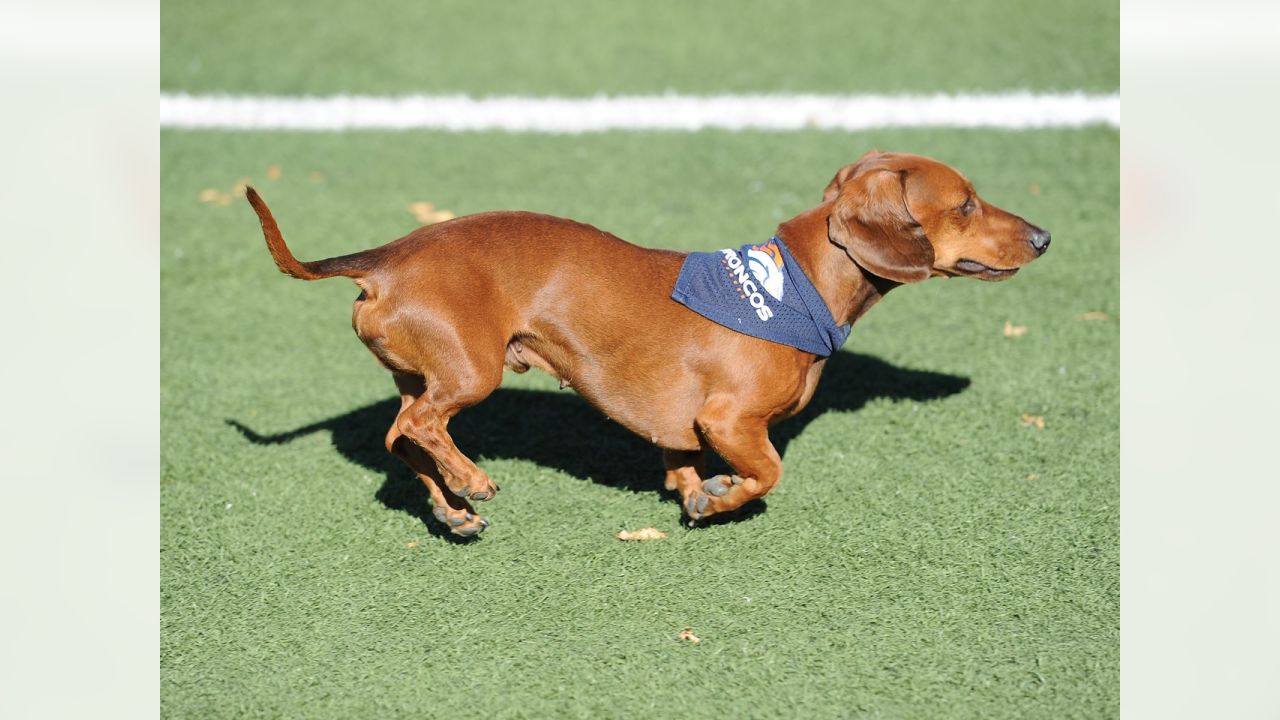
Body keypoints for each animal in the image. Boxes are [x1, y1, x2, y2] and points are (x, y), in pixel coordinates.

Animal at [247, 149, 1049, 532]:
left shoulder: (683, 428)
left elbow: (680, 466)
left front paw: (693, 494)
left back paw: (451, 510)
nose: (1044, 237)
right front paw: (718, 501)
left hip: (422, 374)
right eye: (966, 204)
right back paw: (470, 481)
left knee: (400, 439)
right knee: (419, 429)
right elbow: (766, 474)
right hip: (470, 373)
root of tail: (386, 258)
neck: (792, 285)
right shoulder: (731, 421)